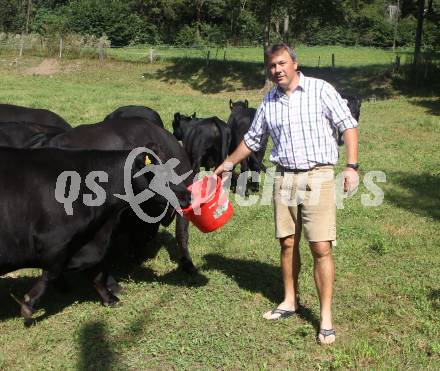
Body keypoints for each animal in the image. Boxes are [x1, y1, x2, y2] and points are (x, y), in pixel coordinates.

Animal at [0, 146, 192, 320]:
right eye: (161, 173)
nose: (188, 195)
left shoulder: (89, 241)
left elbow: (97, 273)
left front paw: (109, 298)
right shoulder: (53, 240)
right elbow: (52, 272)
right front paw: (29, 304)